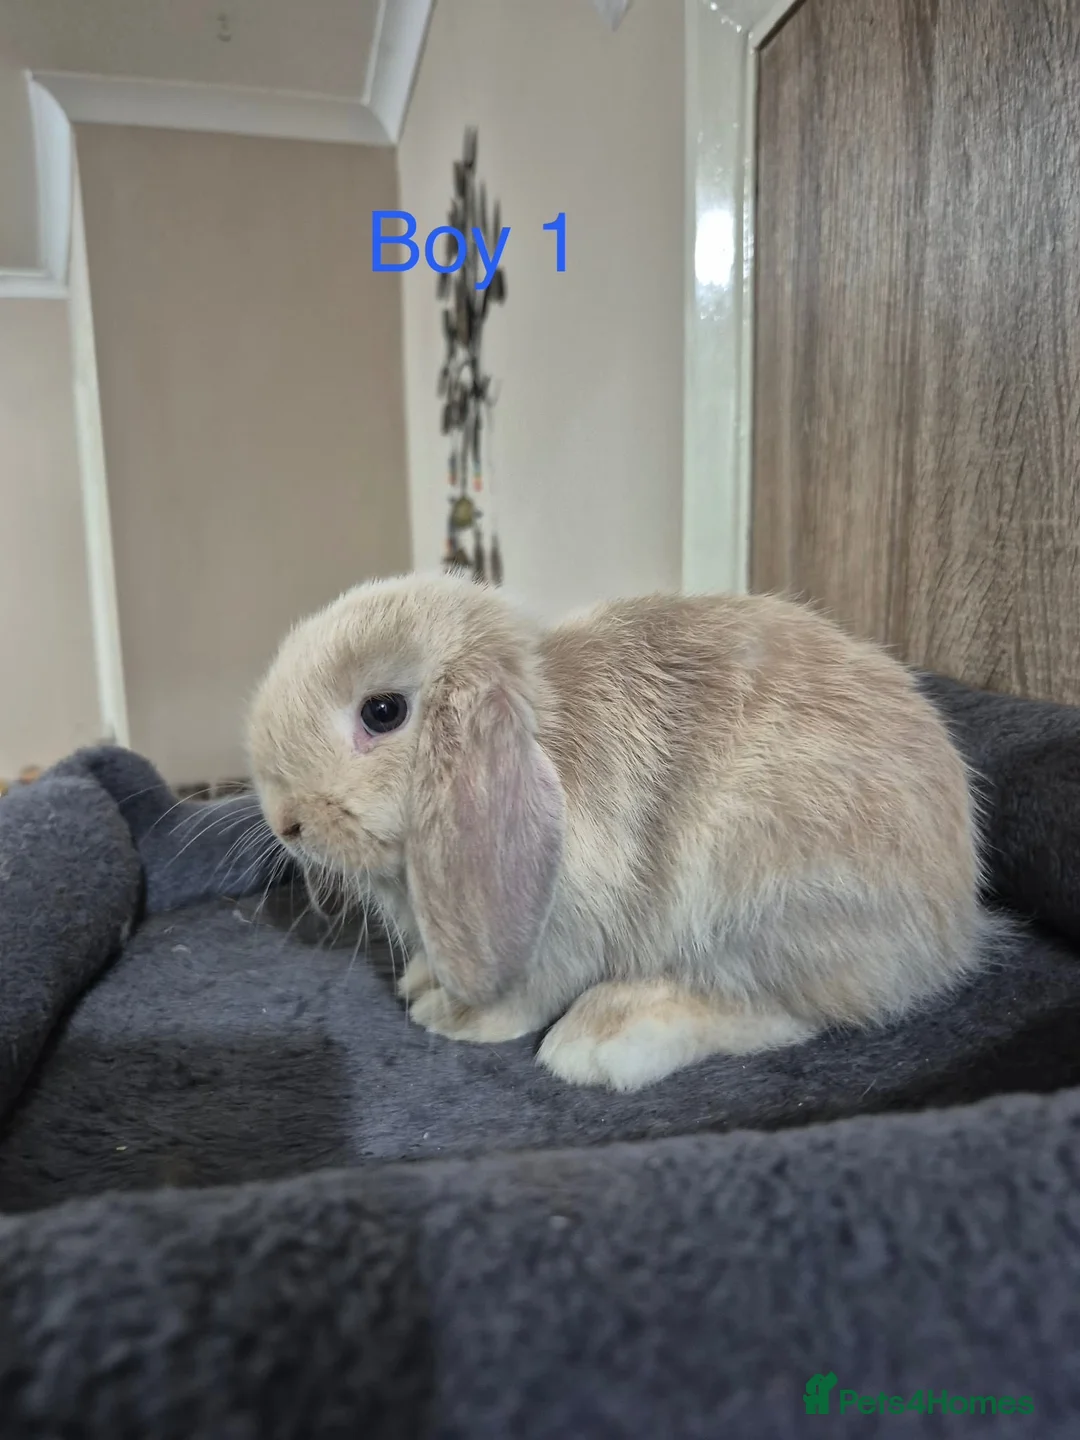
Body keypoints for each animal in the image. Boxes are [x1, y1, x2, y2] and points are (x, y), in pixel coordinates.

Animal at [245, 570, 996, 1092]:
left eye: (382, 712)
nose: (287, 823)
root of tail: (954, 927)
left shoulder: (564, 927)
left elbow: (526, 991)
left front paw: (458, 1019)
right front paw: (427, 984)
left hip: (768, 896)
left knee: (787, 1008)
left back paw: (609, 1035)